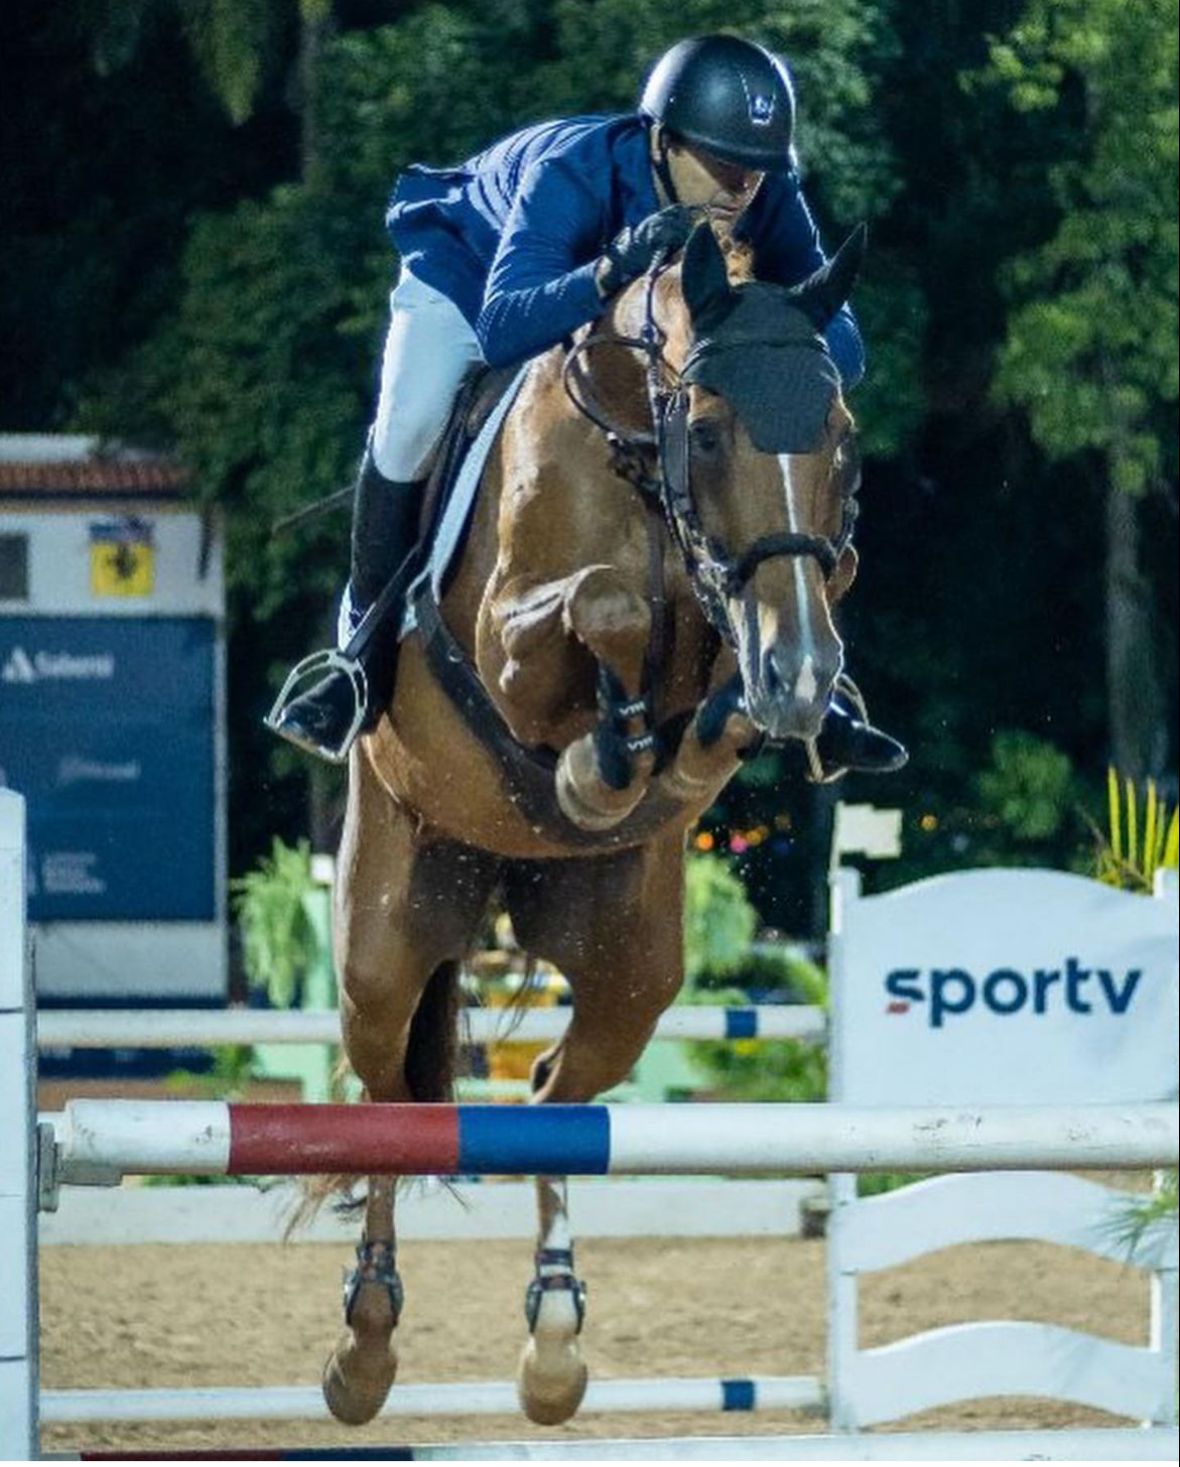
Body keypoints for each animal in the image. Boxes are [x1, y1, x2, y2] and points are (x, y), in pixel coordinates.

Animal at [322, 222, 868, 1425]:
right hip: (386, 932)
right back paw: (364, 1348)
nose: (802, 676)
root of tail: (492, 874)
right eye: (705, 432)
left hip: (629, 970)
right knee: (388, 1100)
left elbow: (716, 677)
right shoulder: (507, 644)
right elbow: (603, 606)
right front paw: (595, 762)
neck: (631, 442)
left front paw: (707, 731)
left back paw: (555, 1344)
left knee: (548, 1096)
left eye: (843, 443)